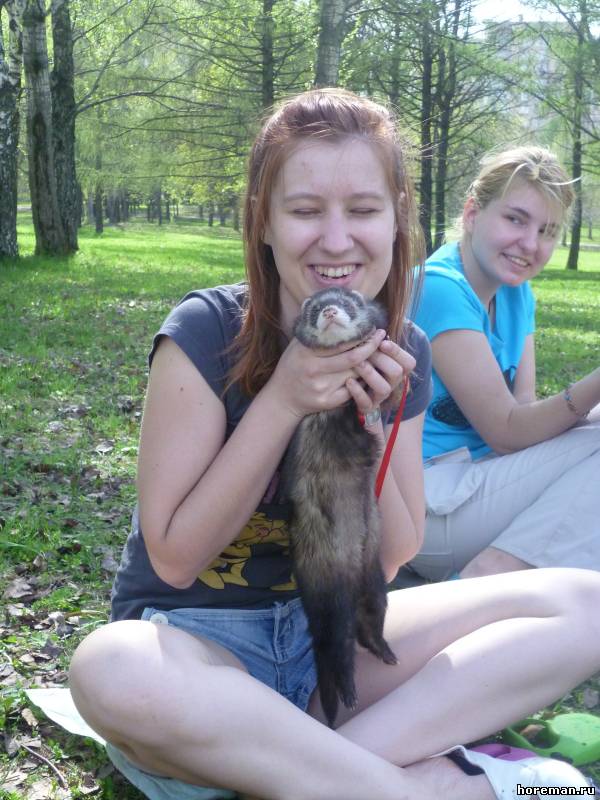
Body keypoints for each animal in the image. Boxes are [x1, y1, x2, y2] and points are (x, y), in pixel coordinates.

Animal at [280, 287, 398, 728]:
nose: (329, 310)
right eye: (314, 307)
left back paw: (384, 650)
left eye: (347, 302)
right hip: (335, 604)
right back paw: (346, 691)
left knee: (368, 627)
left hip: (376, 586)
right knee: (335, 652)